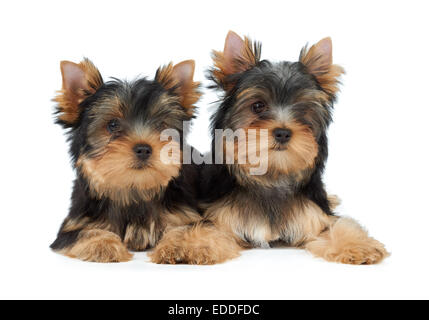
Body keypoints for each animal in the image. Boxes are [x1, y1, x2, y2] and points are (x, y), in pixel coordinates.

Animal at [50, 58, 202, 262]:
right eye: (112, 125)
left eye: (161, 125)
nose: (144, 149)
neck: (134, 189)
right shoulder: (73, 226)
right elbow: (85, 232)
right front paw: (104, 245)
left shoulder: (184, 215)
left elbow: (189, 228)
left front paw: (179, 247)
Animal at [150, 31, 388, 264]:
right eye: (258, 106)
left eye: (302, 110)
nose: (282, 132)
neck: (272, 176)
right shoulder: (221, 217)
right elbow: (208, 228)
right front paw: (189, 246)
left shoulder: (313, 216)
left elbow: (335, 226)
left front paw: (357, 245)